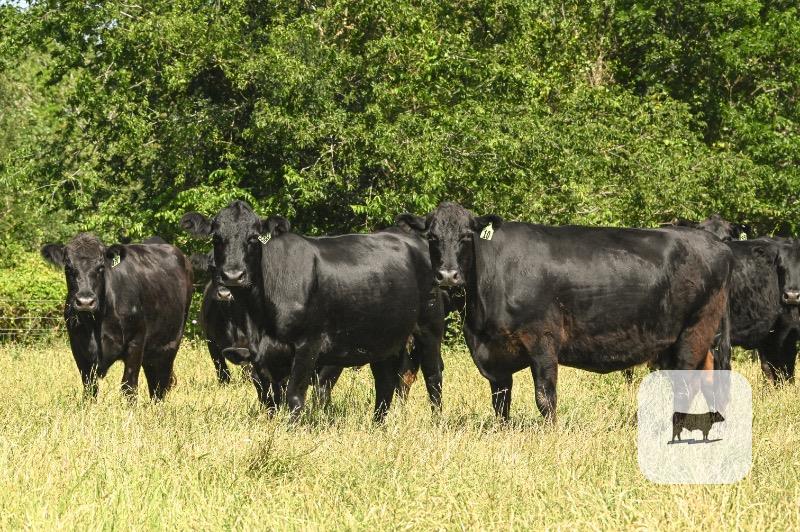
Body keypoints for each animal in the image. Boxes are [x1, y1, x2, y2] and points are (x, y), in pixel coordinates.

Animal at [40, 233, 193, 400]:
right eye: (68, 268)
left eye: (101, 267)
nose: (85, 302)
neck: (96, 322)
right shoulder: (78, 348)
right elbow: (89, 389)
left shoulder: (136, 342)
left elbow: (129, 387)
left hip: (170, 343)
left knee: (160, 383)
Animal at [180, 201, 445, 421]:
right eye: (216, 237)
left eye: (253, 237)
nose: (233, 275)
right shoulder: (259, 356)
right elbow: (271, 400)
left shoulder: (308, 344)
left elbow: (295, 396)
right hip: (384, 339)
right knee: (386, 383)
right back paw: (377, 426)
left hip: (429, 326)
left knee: (433, 375)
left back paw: (437, 421)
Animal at [397, 202, 733, 422]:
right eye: (432, 237)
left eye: (467, 236)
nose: (448, 275)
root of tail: (713, 242)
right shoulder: (493, 352)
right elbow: (500, 400)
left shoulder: (542, 339)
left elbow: (545, 397)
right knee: (708, 380)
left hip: (695, 330)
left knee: (686, 385)